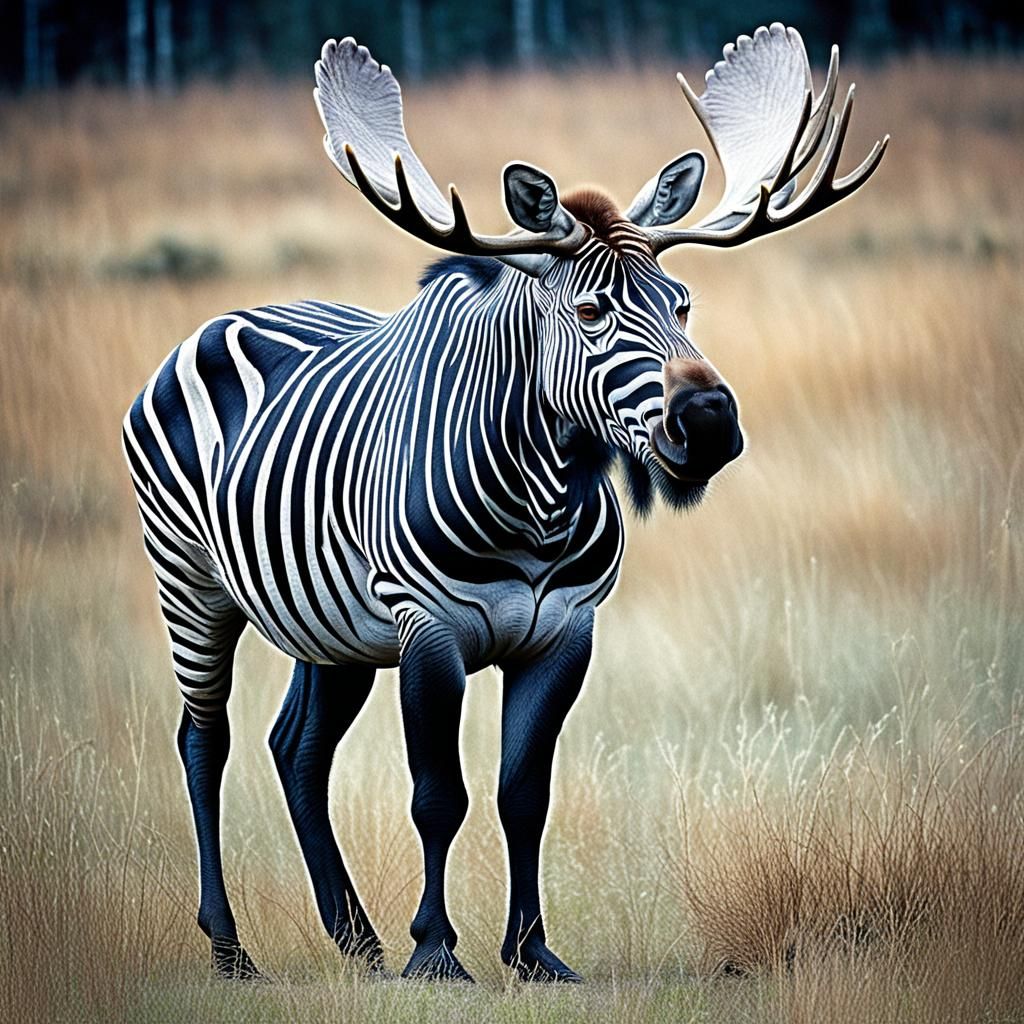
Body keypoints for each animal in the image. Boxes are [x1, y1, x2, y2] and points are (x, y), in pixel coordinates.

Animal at [123, 25, 886, 983]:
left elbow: (525, 794)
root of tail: (218, 320)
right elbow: (437, 796)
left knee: (296, 749)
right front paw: (436, 952)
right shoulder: (429, 632)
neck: (540, 507)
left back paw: (356, 940)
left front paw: (531, 953)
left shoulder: (564, 635)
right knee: (205, 742)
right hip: (190, 585)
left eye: (683, 304)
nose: (710, 422)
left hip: (328, 628)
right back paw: (232, 948)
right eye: (593, 311)